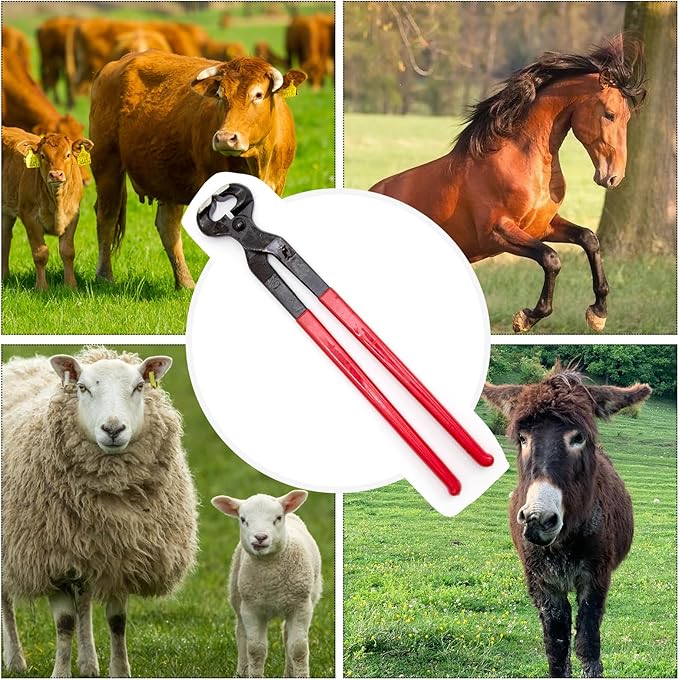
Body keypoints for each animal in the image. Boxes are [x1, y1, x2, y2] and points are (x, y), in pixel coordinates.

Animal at [1, 347, 198, 678]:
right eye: (83, 388)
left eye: (139, 386)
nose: (113, 429)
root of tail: (20, 363)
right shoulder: (51, 559)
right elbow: (64, 623)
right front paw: (60, 673)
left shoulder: (119, 556)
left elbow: (116, 622)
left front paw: (119, 670)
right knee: (6, 601)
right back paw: (15, 659)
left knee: (83, 602)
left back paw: (88, 663)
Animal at [212, 490, 322, 678]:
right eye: (243, 519)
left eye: (278, 518)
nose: (260, 537)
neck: (271, 578)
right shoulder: (252, 608)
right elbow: (255, 649)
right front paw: (254, 674)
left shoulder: (301, 606)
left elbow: (298, 648)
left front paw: (301, 675)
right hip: (237, 596)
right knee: (241, 634)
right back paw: (242, 671)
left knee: (286, 636)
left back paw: (288, 673)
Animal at [371, 39, 646, 333]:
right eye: (609, 114)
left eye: (627, 118)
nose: (613, 177)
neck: (519, 159)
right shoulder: (497, 232)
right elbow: (551, 259)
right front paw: (527, 317)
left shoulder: (542, 226)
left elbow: (588, 239)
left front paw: (598, 312)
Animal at [482, 367, 651, 677]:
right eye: (522, 438)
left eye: (578, 438)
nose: (537, 519)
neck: (563, 543)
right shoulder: (543, 584)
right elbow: (557, 649)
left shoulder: (595, 579)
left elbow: (587, 646)